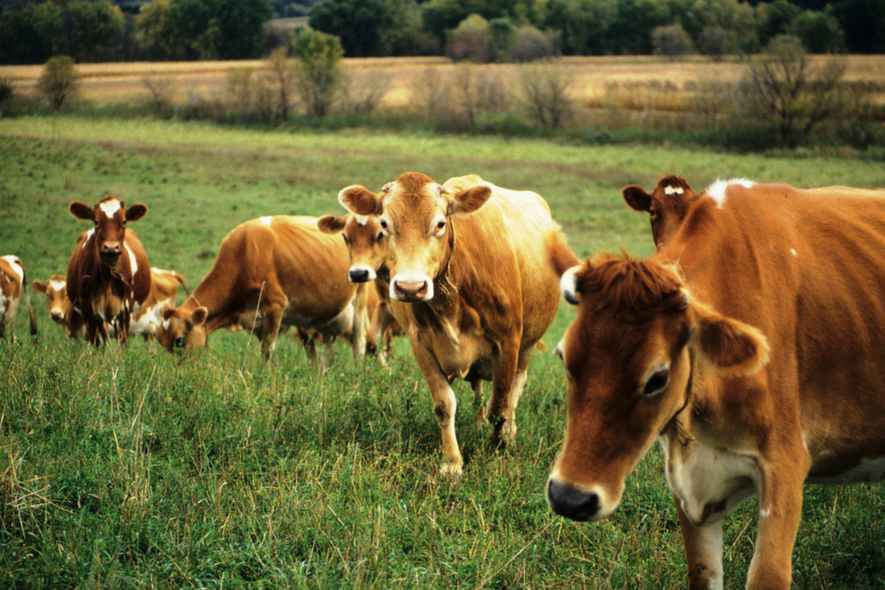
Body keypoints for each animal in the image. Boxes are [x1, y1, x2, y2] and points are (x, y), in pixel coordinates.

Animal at [66, 196, 152, 345]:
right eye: (96, 221)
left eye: (124, 221)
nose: (111, 247)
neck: (107, 278)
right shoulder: (88, 310)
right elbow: (95, 342)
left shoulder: (125, 310)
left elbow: (122, 343)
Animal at [155, 215, 370, 367]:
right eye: (162, 343)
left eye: (179, 340)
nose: (182, 373)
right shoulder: (257, 323)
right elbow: (269, 355)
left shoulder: (274, 307)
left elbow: (267, 352)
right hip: (324, 318)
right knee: (325, 352)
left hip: (359, 305)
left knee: (359, 348)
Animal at [336, 172, 570, 476]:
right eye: (385, 224)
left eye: (440, 223)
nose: (410, 287)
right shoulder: (421, 343)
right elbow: (444, 404)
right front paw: (451, 463)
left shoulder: (508, 342)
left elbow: (500, 405)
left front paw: (498, 449)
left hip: (527, 344)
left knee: (516, 387)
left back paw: (510, 431)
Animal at [545, 179, 885, 590]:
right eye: (565, 358)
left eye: (658, 377)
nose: (569, 497)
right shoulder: (689, 484)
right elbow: (703, 572)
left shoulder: (785, 466)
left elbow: (767, 574)